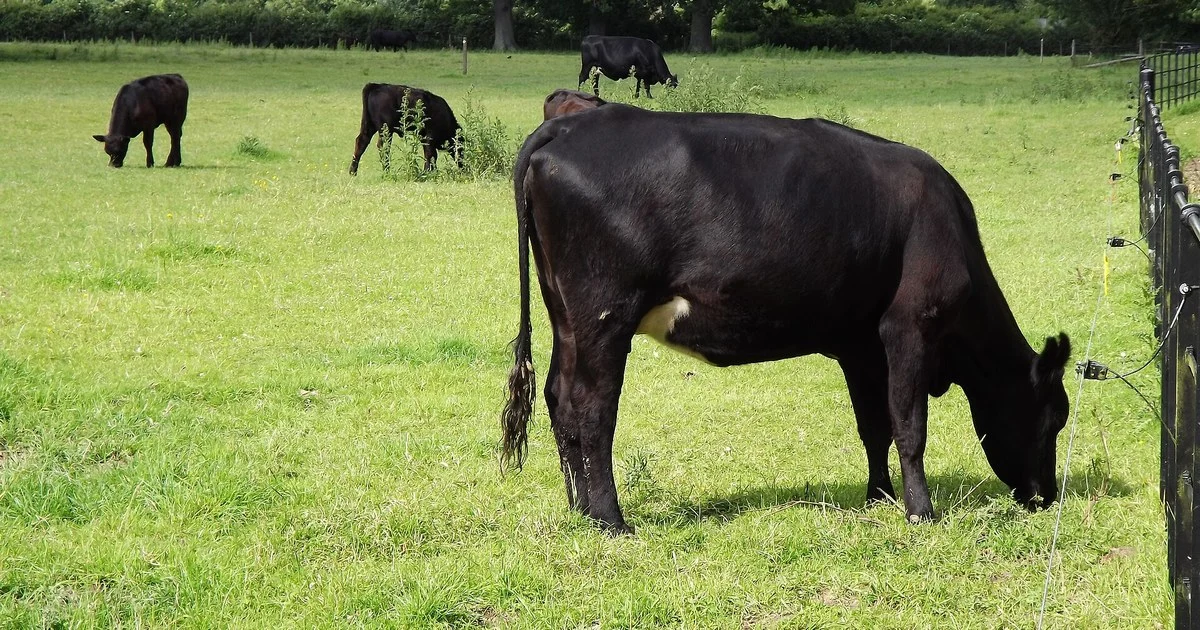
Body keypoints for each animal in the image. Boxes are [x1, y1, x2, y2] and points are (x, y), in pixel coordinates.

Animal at [501, 104, 1072, 535]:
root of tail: (570, 126)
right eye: (1054, 418)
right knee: (591, 407)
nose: (1046, 496)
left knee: (558, 397)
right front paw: (921, 512)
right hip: (605, 314)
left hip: (566, 315)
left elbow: (875, 426)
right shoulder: (911, 326)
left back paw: (579, 508)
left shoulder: (860, 345)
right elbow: (910, 427)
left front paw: (879, 496)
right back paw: (610, 519)